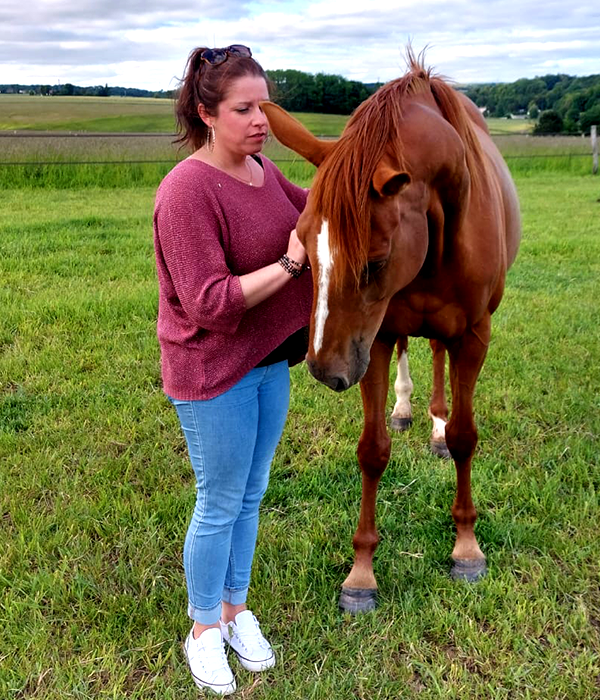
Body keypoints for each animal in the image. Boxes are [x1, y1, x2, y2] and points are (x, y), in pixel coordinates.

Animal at [262, 56, 520, 612]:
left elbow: (466, 437)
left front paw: (467, 546)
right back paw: (404, 408)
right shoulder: (374, 340)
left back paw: (436, 426)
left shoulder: (474, 335)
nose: (325, 369)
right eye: (304, 248)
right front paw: (361, 572)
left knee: (440, 360)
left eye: (375, 261)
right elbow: (372, 450)